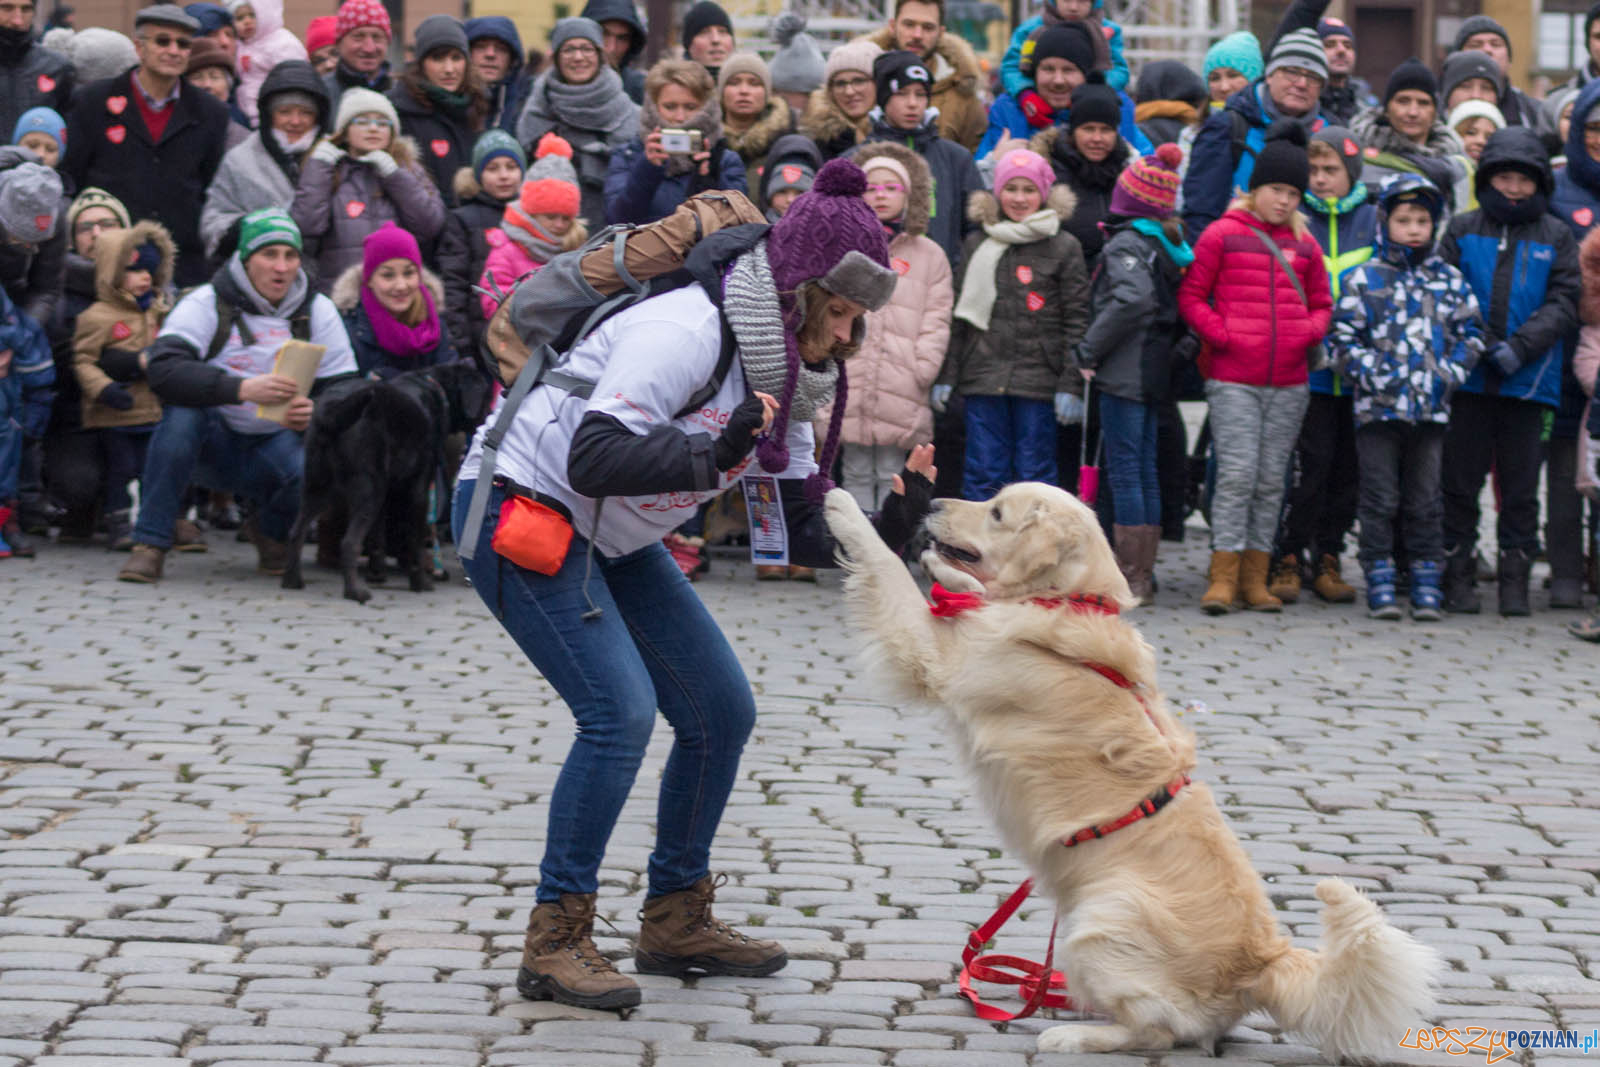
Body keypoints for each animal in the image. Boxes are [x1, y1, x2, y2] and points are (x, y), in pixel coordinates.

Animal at [284, 363, 489, 604]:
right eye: (485, 394)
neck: (434, 388)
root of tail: (332, 408)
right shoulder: (417, 490)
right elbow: (414, 541)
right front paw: (419, 583)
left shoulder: (388, 494)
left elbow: (378, 537)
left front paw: (377, 573)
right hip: (369, 489)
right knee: (349, 543)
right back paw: (354, 591)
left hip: (317, 486)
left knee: (296, 532)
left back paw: (292, 580)